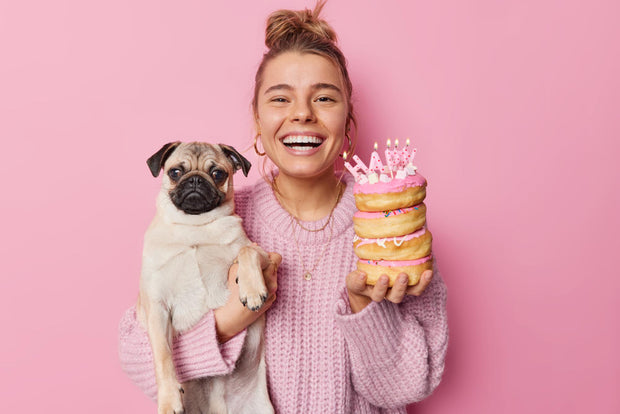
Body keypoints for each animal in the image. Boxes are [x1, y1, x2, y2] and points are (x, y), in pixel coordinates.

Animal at [139, 142, 274, 414]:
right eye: (175, 172)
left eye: (218, 174)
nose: (195, 180)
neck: (195, 227)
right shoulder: (157, 307)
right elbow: (163, 357)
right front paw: (169, 399)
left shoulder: (262, 254)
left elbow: (247, 251)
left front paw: (252, 291)